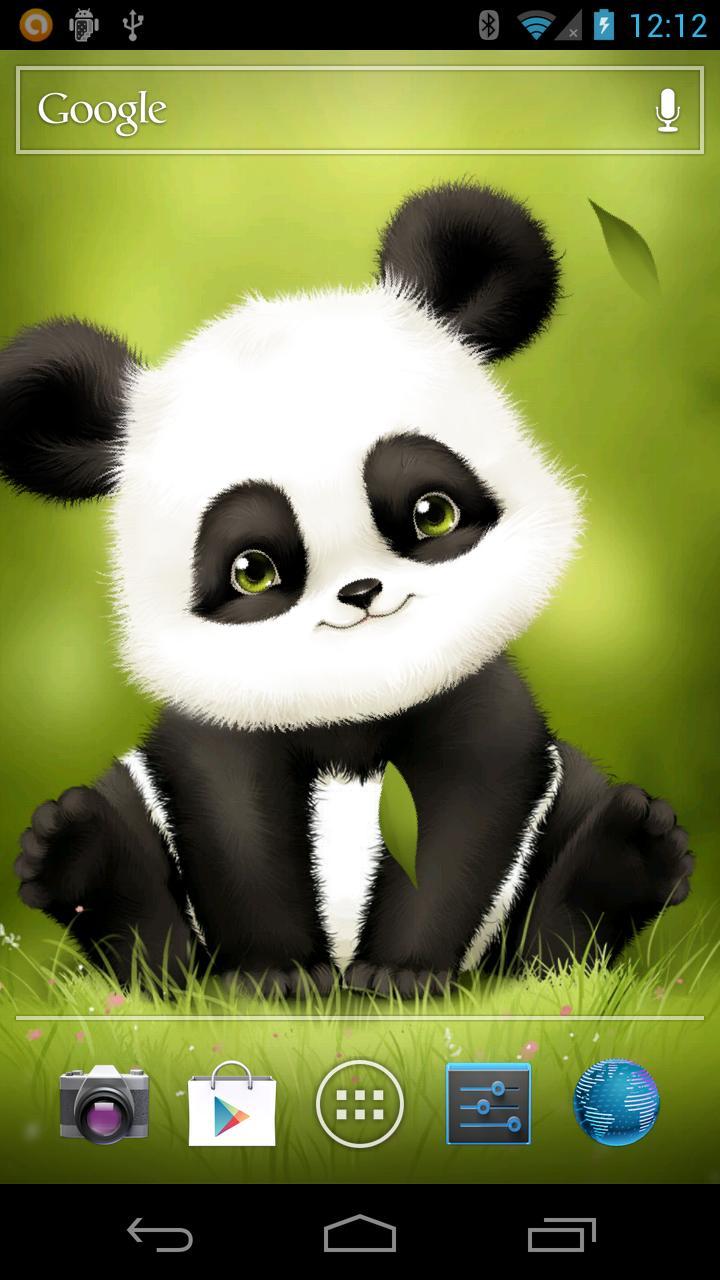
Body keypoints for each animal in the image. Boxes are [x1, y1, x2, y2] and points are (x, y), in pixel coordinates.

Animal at [0, 183, 694, 996]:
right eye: (253, 569)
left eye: (431, 512)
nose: (361, 592)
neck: (355, 706)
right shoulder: (223, 726)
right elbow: (235, 825)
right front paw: (274, 978)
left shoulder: (475, 703)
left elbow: (464, 820)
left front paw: (401, 975)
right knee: (132, 889)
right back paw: (80, 860)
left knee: (562, 918)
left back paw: (626, 857)